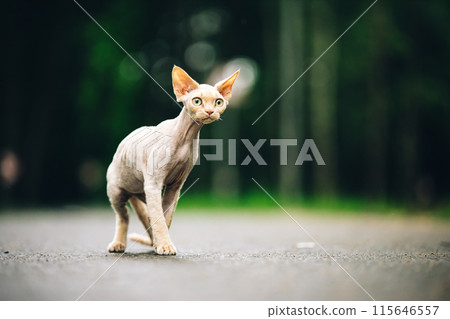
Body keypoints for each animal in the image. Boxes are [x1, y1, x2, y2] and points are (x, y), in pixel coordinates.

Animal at [106, 66, 239, 256]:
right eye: (197, 101)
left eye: (218, 102)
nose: (209, 111)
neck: (185, 138)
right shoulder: (153, 184)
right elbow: (159, 218)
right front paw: (164, 245)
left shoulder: (175, 186)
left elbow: (165, 216)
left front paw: (160, 244)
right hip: (116, 190)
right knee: (123, 215)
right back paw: (118, 244)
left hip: (143, 192)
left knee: (147, 214)